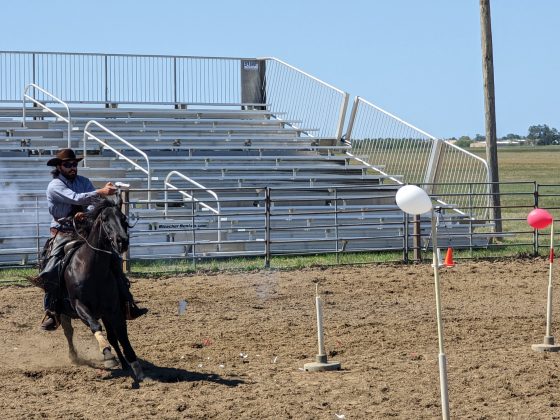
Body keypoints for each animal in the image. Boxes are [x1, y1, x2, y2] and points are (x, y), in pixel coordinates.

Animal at [57, 199, 142, 382]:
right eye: (104, 219)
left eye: (123, 218)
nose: (122, 241)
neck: (92, 269)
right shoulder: (80, 306)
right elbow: (95, 326)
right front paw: (107, 354)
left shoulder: (113, 308)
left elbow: (121, 335)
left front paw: (134, 364)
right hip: (63, 312)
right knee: (68, 332)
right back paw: (74, 356)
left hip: (104, 313)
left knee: (112, 336)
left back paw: (123, 363)